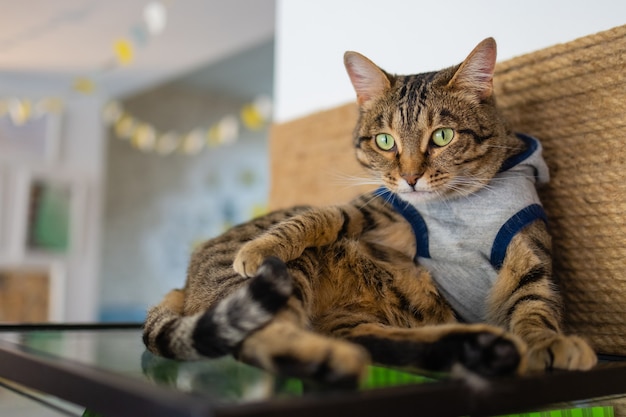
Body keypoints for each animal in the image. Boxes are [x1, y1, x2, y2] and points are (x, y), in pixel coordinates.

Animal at [143, 37, 596, 386]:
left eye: (443, 136)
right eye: (384, 141)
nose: (411, 177)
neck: (459, 205)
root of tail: (183, 286)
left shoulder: (529, 253)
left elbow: (535, 304)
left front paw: (548, 343)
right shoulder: (377, 205)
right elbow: (320, 217)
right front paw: (260, 247)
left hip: (355, 319)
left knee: (371, 341)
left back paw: (478, 347)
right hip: (288, 280)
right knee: (257, 339)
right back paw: (333, 360)